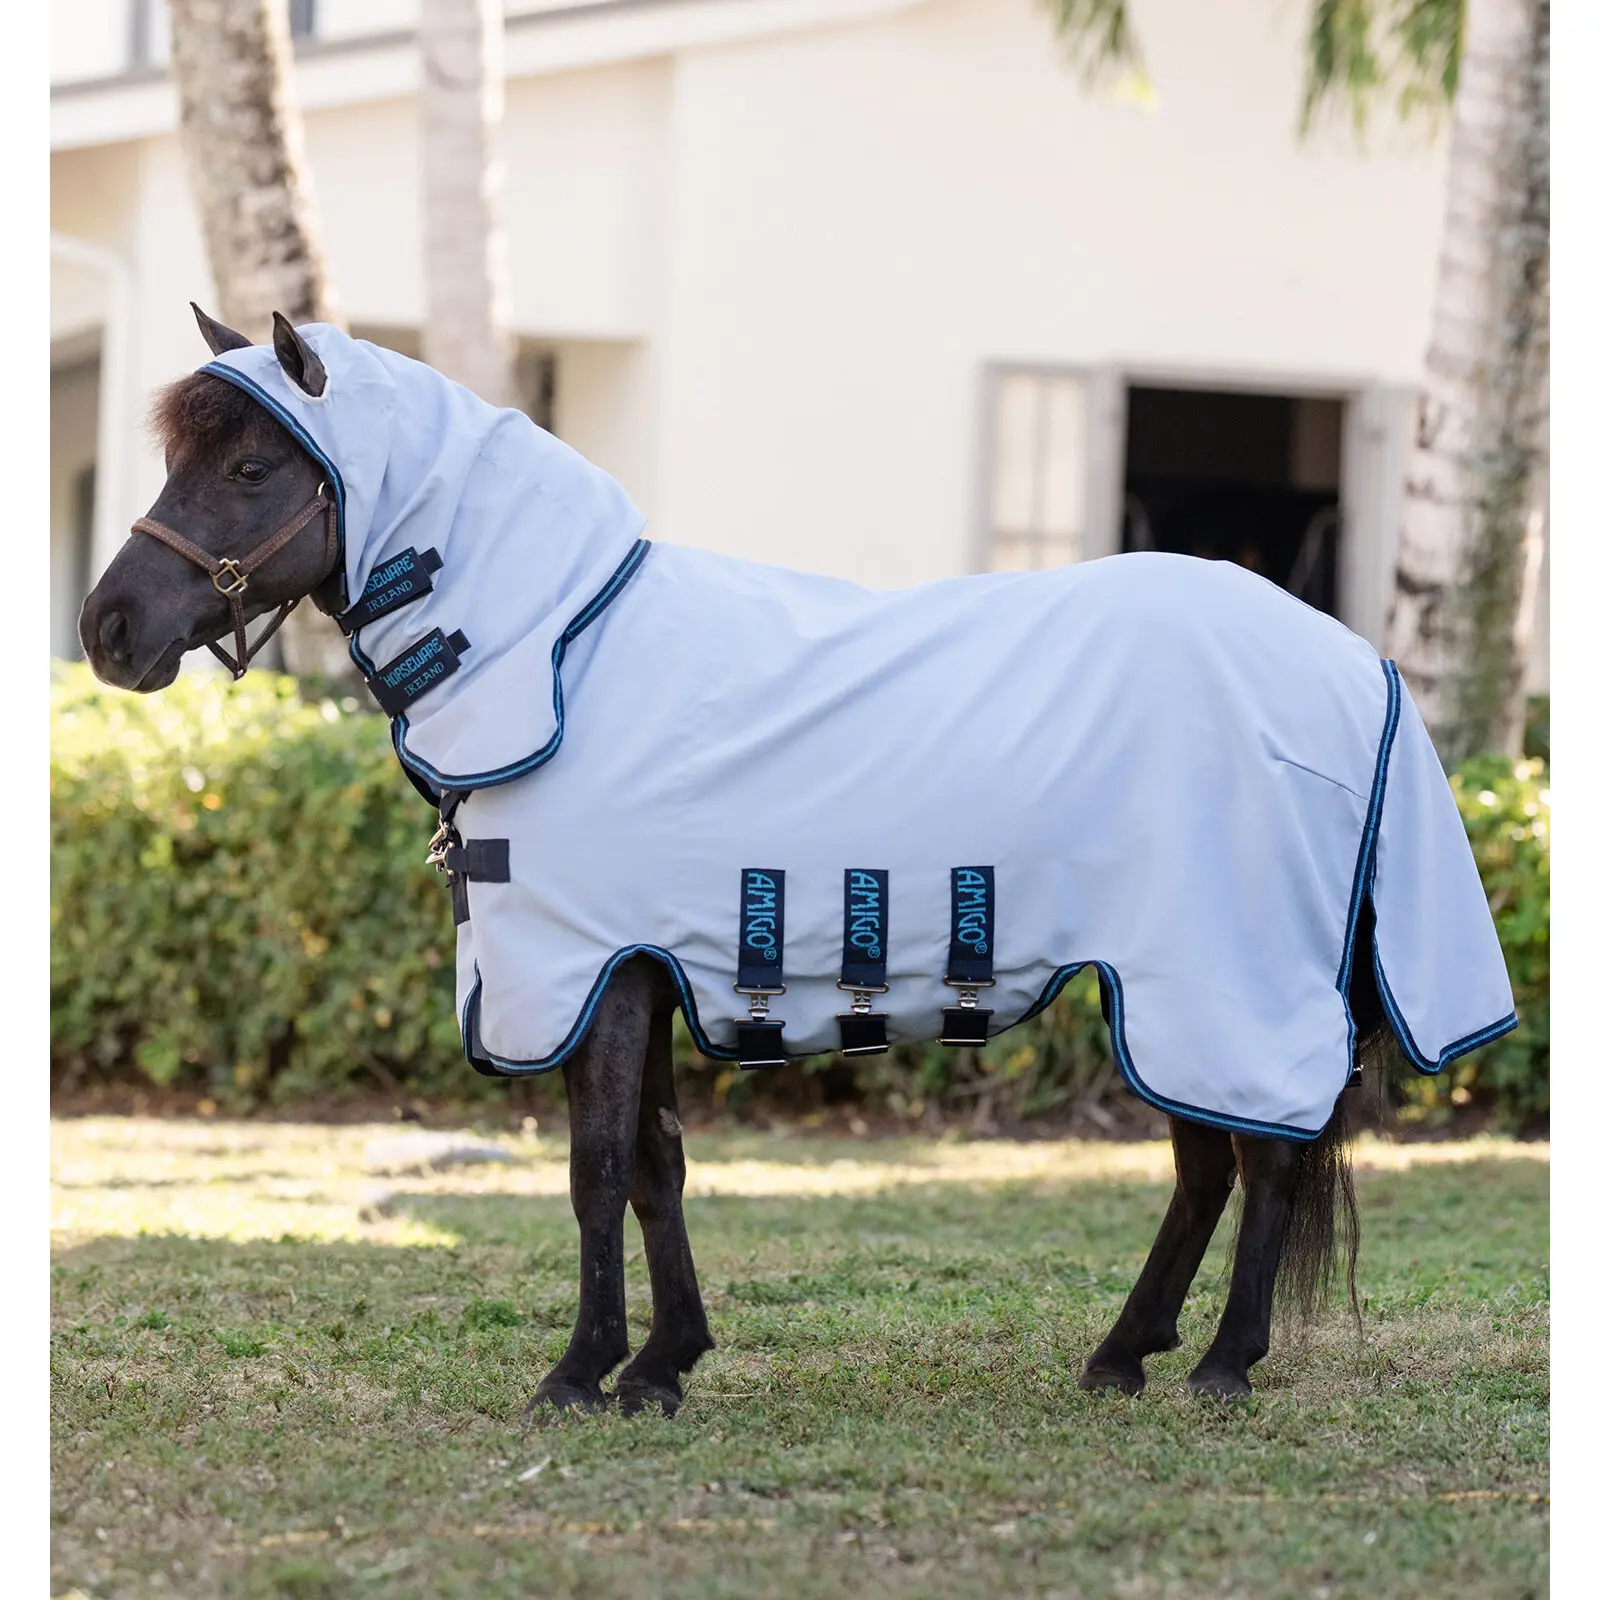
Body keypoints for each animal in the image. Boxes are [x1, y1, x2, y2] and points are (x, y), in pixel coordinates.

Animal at [78, 307, 1514, 1415]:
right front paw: (662, 1365)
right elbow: (653, 1166)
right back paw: (1123, 1356)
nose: (108, 628)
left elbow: (596, 1171)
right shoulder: (646, 968)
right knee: (1210, 1166)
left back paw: (1221, 1364)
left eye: (251, 466)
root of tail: (1354, 661)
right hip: (1161, 982)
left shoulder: (592, 973)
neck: (569, 655)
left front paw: (579, 1373)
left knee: (1261, 1156)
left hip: (1218, 976)